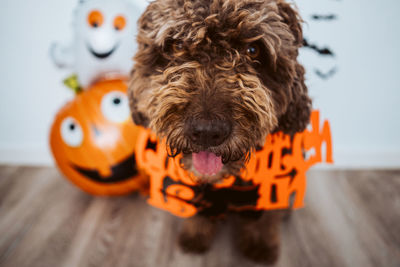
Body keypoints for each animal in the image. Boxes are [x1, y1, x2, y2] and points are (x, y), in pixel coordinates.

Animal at [130, 0, 310, 264]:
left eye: (253, 50)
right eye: (177, 45)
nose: (207, 131)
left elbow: (266, 218)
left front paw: (261, 245)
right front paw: (195, 235)